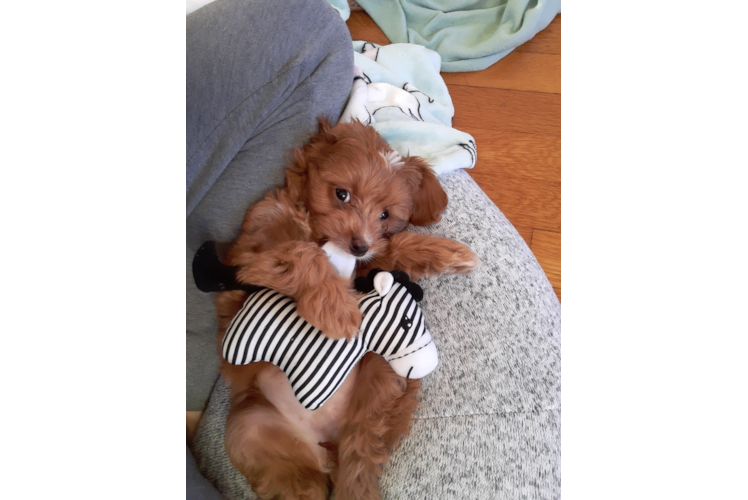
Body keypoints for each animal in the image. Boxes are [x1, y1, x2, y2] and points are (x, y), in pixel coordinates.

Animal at [216, 119, 480, 498]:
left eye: (384, 215)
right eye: (341, 194)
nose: (359, 245)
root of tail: (324, 439)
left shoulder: (371, 264)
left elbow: (395, 246)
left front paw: (448, 253)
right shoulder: (256, 252)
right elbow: (302, 253)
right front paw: (337, 310)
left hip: (379, 377)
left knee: (363, 446)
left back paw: (355, 481)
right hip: (251, 426)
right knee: (298, 480)